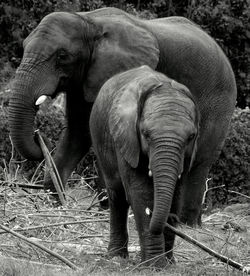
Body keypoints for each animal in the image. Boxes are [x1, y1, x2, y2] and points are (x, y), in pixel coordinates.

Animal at [8, 7, 236, 226]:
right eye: (24, 46)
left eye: (62, 55)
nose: (40, 137)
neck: (89, 21)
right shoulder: (83, 81)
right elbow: (78, 132)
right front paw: (54, 201)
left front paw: (104, 207)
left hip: (218, 103)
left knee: (198, 160)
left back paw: (187, 224)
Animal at [89, 65, 199, 268]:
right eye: (146, 134)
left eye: (191, 137)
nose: (172, 221)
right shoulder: (127, 138)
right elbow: (140, 193)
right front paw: (154, 265)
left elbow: (177, 195)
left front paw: (169, 263)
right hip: (100, 138)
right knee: (117, 196)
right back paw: (116, 257)